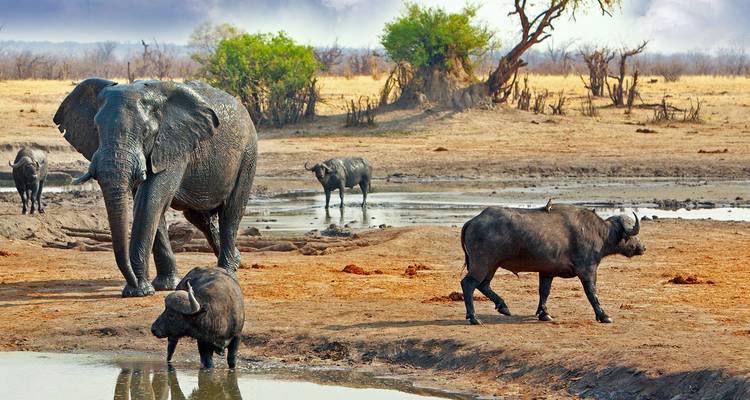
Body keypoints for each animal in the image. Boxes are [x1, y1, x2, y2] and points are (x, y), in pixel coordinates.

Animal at [53, 78, 258, 297]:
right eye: (96, 129)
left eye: (145, 132)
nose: (133, 283)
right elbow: (151, 205)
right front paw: (162, 286)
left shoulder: (173, 144)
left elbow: (150, 200)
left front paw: (139, 291)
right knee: (198, 218)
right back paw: (235, 260)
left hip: (248, 154)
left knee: (230, 213)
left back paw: (226, 272)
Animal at [460, 203, 645, 325]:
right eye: (633, 235)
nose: (643, 247)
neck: (598, 232)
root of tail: (473, 221)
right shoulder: (587, 270)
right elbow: (592, 293)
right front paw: (603, 315)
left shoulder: (547, 272)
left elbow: (544, 292)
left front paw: (544, 313)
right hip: (482, 263)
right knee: (468, 284)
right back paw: (474, 317)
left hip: (492, 265)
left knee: (483, 285)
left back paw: (503, 307)